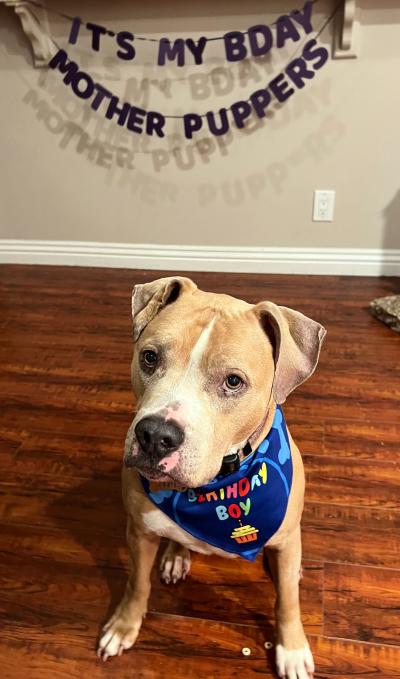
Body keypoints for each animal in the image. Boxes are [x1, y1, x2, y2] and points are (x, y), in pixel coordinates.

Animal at [98, 278, 326, 679]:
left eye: (233, 382)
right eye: (149, 357)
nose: (155, 436)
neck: (215, 490)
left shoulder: (285, 540)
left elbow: (287, 601)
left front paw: (293, 648)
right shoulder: (139, 532)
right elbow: (136, 583)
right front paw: (124, 626)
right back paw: (176, 555)